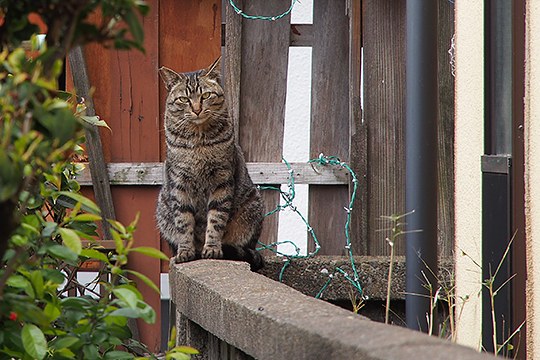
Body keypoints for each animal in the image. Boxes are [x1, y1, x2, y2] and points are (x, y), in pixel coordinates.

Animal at [155, 57, 264, 270]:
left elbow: (216, 218)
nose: (197, 109)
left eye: (205, 95)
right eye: (184, 99)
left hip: (253, 206)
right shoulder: (179, 182)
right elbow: (183, 221)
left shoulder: (222, 179)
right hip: (162, 210)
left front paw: (212, 249)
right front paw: (185, 251)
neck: (198, 141)